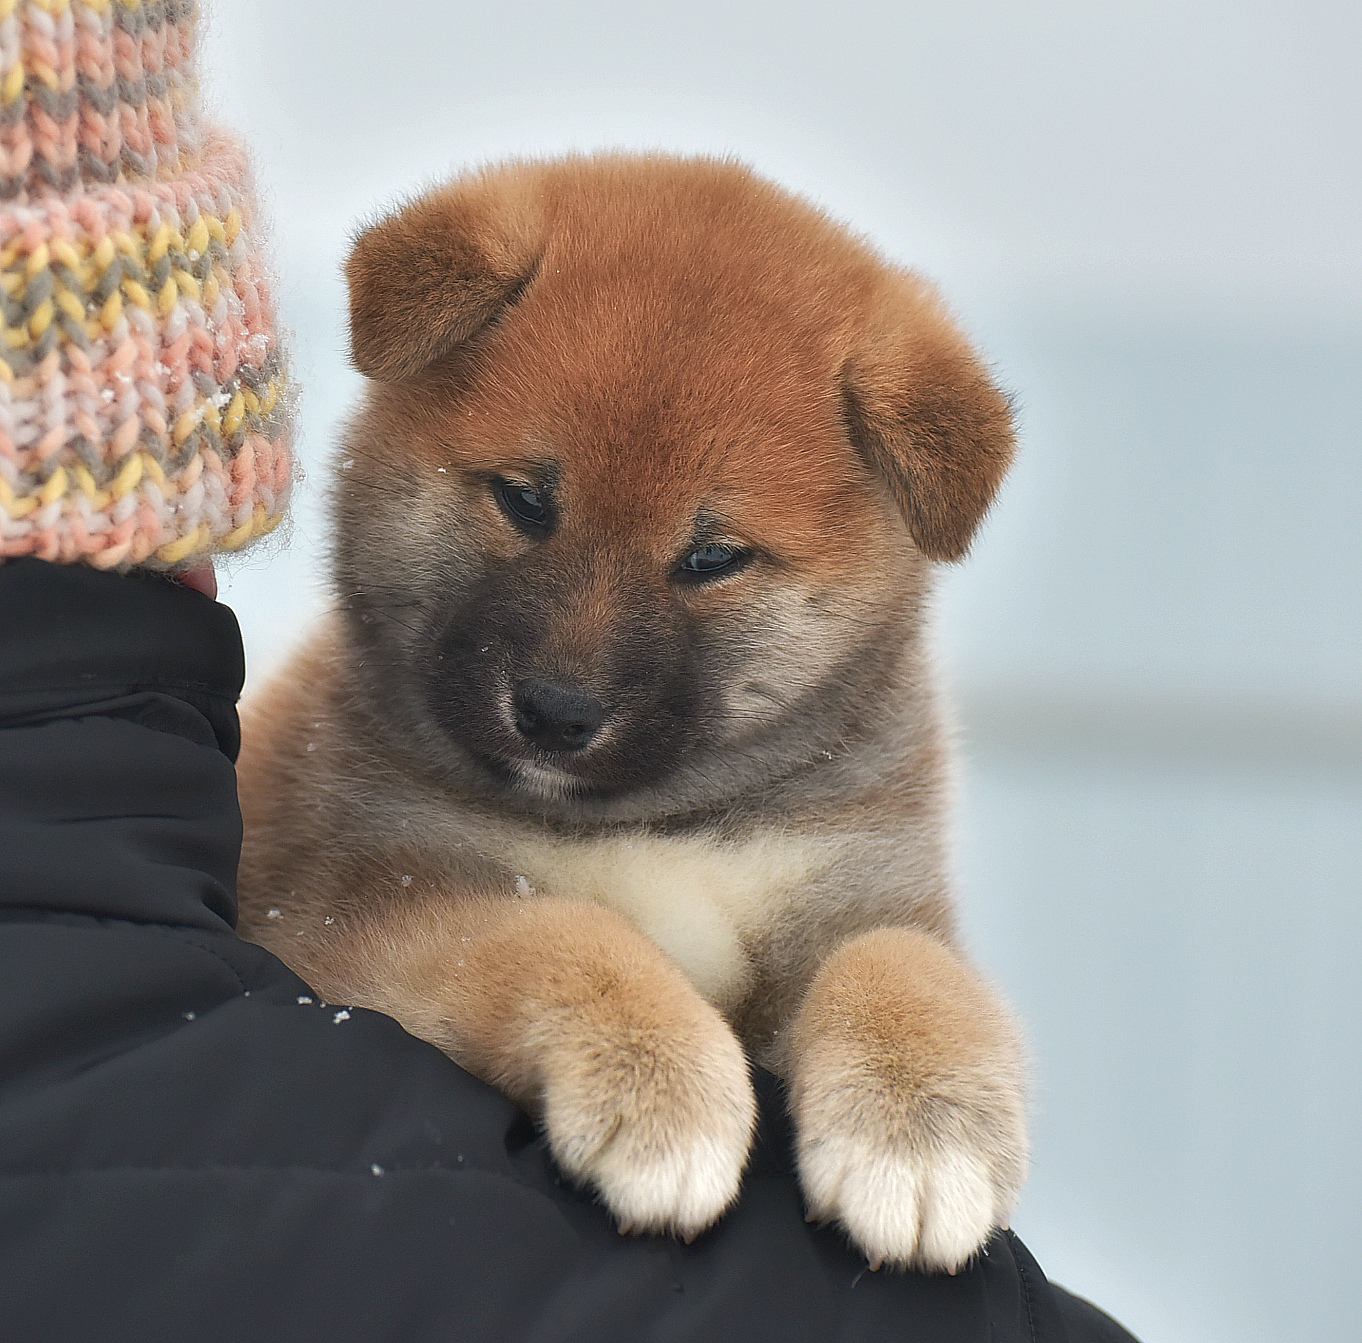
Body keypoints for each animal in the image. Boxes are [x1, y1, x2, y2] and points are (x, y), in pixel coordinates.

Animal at [236, 151, 1024, 1274]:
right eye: (525, 500)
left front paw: (920, 1130)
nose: (556, 713)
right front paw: (664, 1094)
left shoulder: (860, 884)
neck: (659, 822)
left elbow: (900, 962)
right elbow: (557, 930)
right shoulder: (356, 906)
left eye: (713, 556)